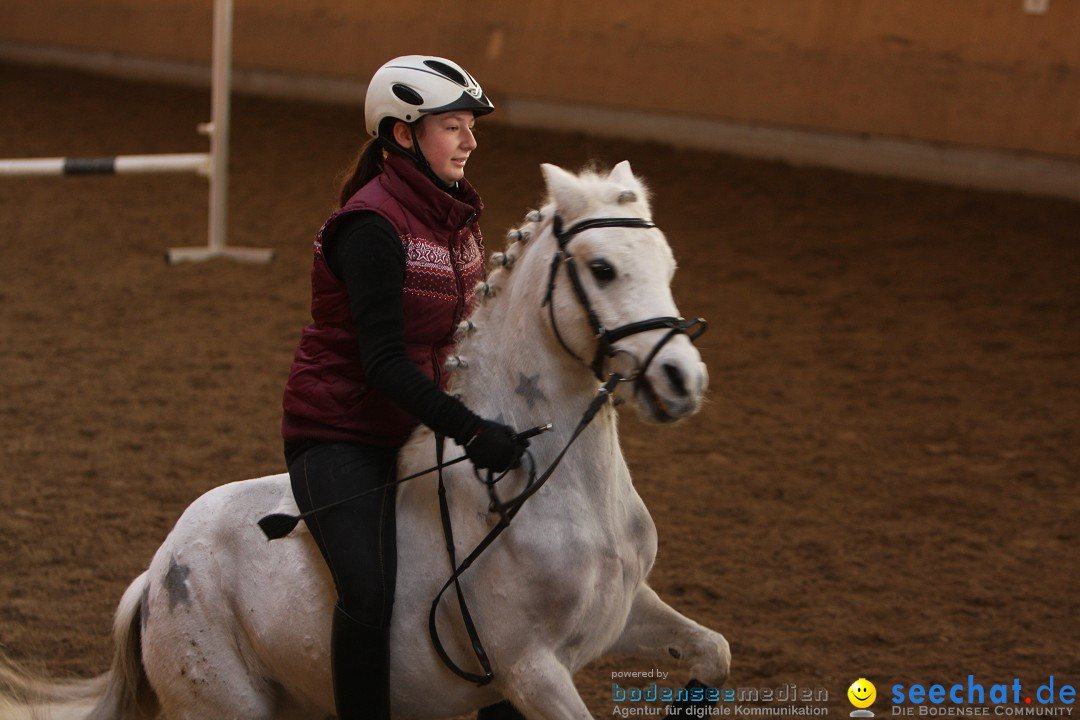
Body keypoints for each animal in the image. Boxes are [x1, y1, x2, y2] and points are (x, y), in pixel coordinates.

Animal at [0, 160, 730, 716]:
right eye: (602, 269)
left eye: (666, 261)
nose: (682, 379)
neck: (551, 491)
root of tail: (152, 578)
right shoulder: (531, 671)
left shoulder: (625, 614)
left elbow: (714, 653)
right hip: (225, 704)